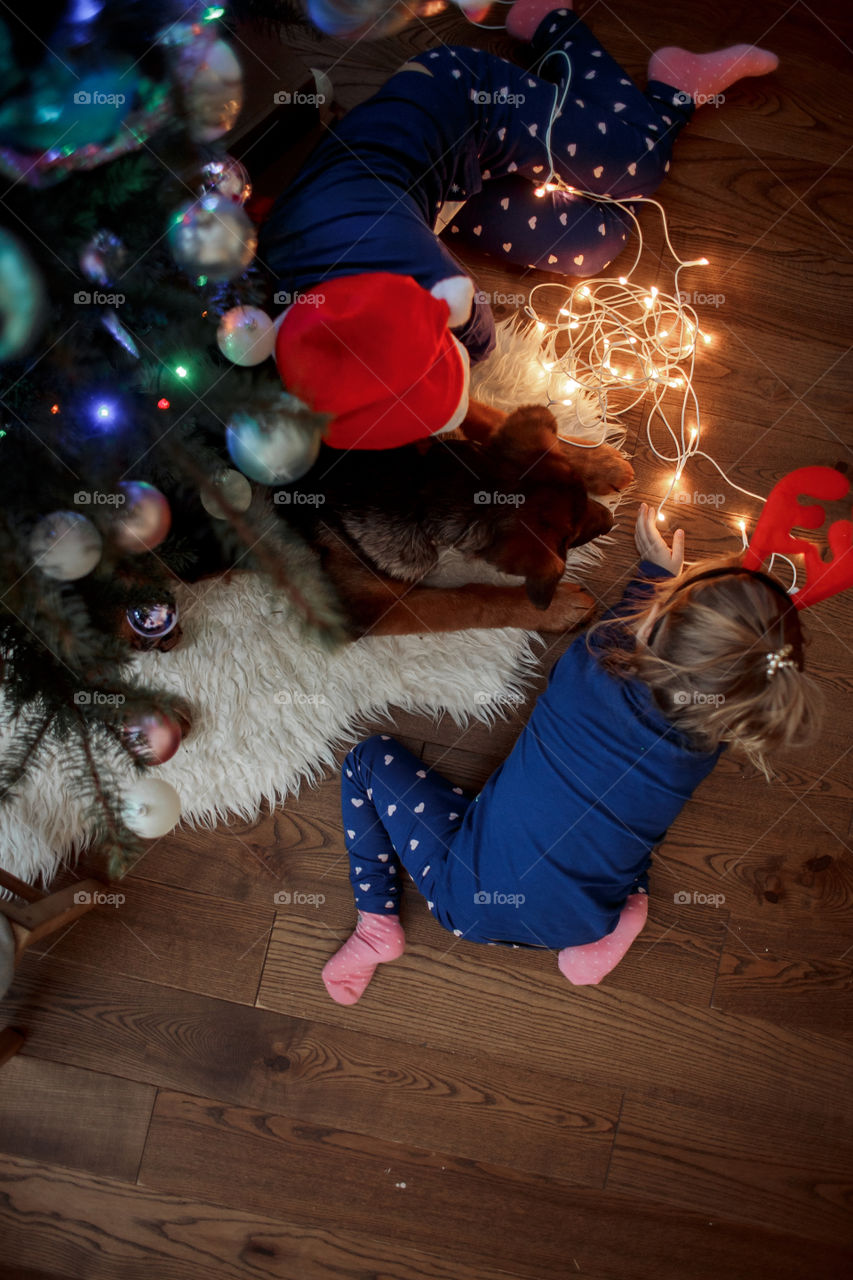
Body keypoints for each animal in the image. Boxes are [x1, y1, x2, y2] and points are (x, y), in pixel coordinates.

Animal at [280, 399, 630, 634]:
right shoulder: (367, 609)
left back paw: (601, 460)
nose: (611, 521)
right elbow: (466, 601)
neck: (420, 481)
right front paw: (556, 608)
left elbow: (492, 418)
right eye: (568, 540)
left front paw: (592, 461)